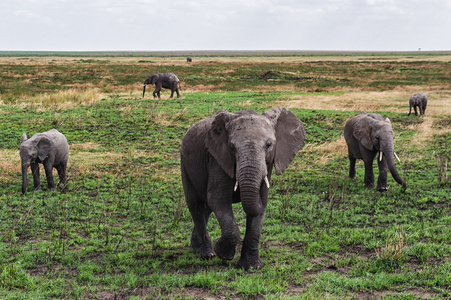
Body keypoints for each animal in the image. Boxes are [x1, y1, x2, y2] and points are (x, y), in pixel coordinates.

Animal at [180, 108, 308, 270]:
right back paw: (208, 254)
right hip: (185, 163)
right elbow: (217, 199)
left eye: (269, 145)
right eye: (232, 147)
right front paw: (223, 253)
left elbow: (262, 204)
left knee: (206, 208)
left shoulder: (268, 166)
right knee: (195, 205)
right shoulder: (217, 159)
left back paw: (196, 247)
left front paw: (252, 267)